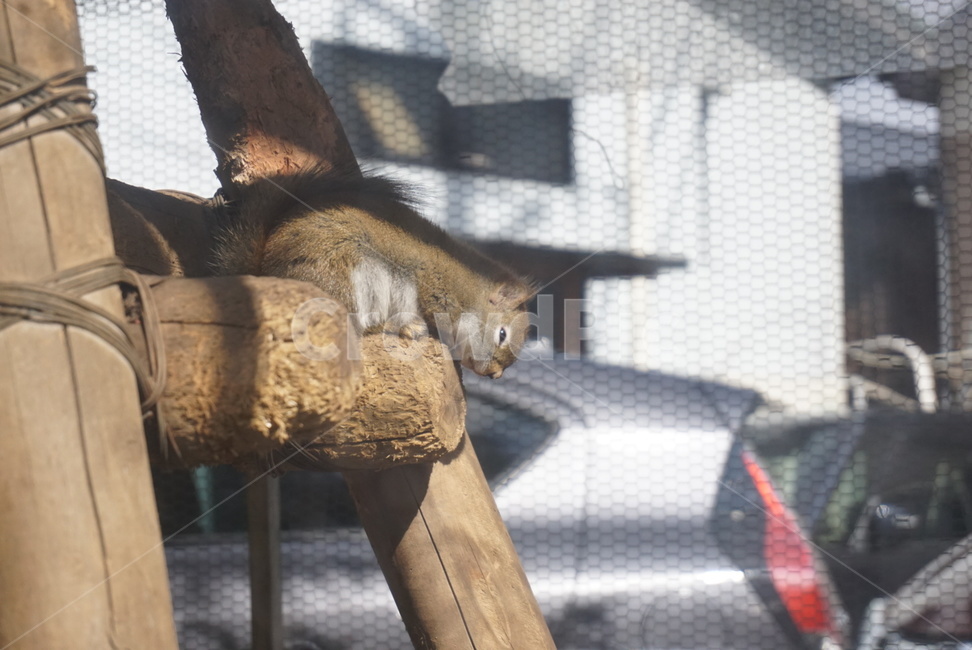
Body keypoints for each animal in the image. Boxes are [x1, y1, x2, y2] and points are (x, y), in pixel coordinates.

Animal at [212, 167, 534, 379]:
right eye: (502, 334)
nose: (494, 374)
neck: (466, 287)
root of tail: (266, 270)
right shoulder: (435, 291)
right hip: (343, 277)